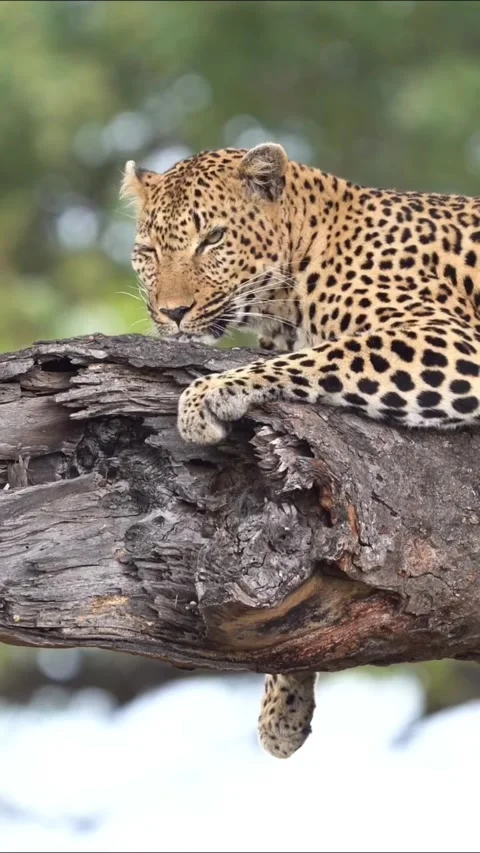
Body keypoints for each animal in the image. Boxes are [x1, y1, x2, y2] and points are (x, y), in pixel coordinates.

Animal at [121, 142, 480, 759]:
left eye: (213, 238)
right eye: (147, 252)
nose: (171, 312)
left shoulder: (448, 340)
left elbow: (319, 357)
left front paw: (207, 396)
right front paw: (281, 709)